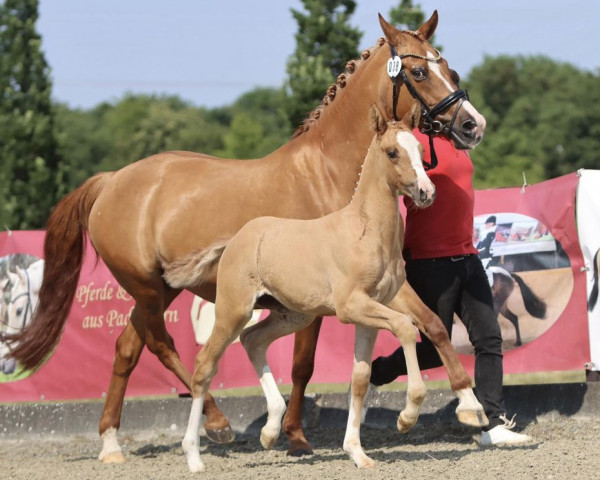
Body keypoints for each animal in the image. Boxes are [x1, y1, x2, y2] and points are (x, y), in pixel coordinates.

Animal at [182, 106, 436, 472]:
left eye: (419, 147)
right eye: (392, 152)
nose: (426, 192)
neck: (366, 230)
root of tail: (236, 238)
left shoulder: (370, 312)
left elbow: (360, 378)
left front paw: (357, 453)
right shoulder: (350, 307)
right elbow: (405, 327)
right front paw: (407, 417)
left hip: (292, 315)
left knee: (253, 340)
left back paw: (270, 431)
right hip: (233, 310)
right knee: (204, 366)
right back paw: (193, 456)